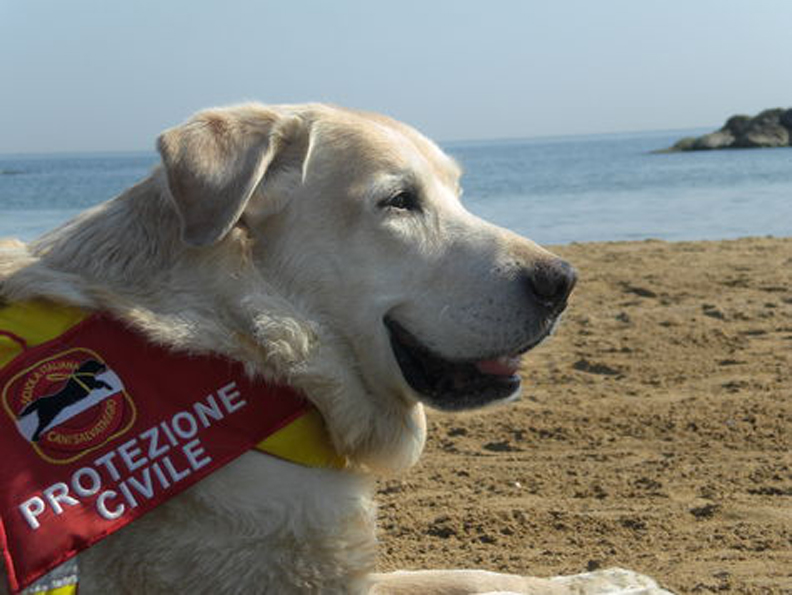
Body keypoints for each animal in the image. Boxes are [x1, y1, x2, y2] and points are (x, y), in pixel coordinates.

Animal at [0, 106, 672, 595]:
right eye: (399, 201)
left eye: (457, 194)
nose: (563, 281)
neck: (246, 343)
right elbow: (470, 582)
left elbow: (464, 574)